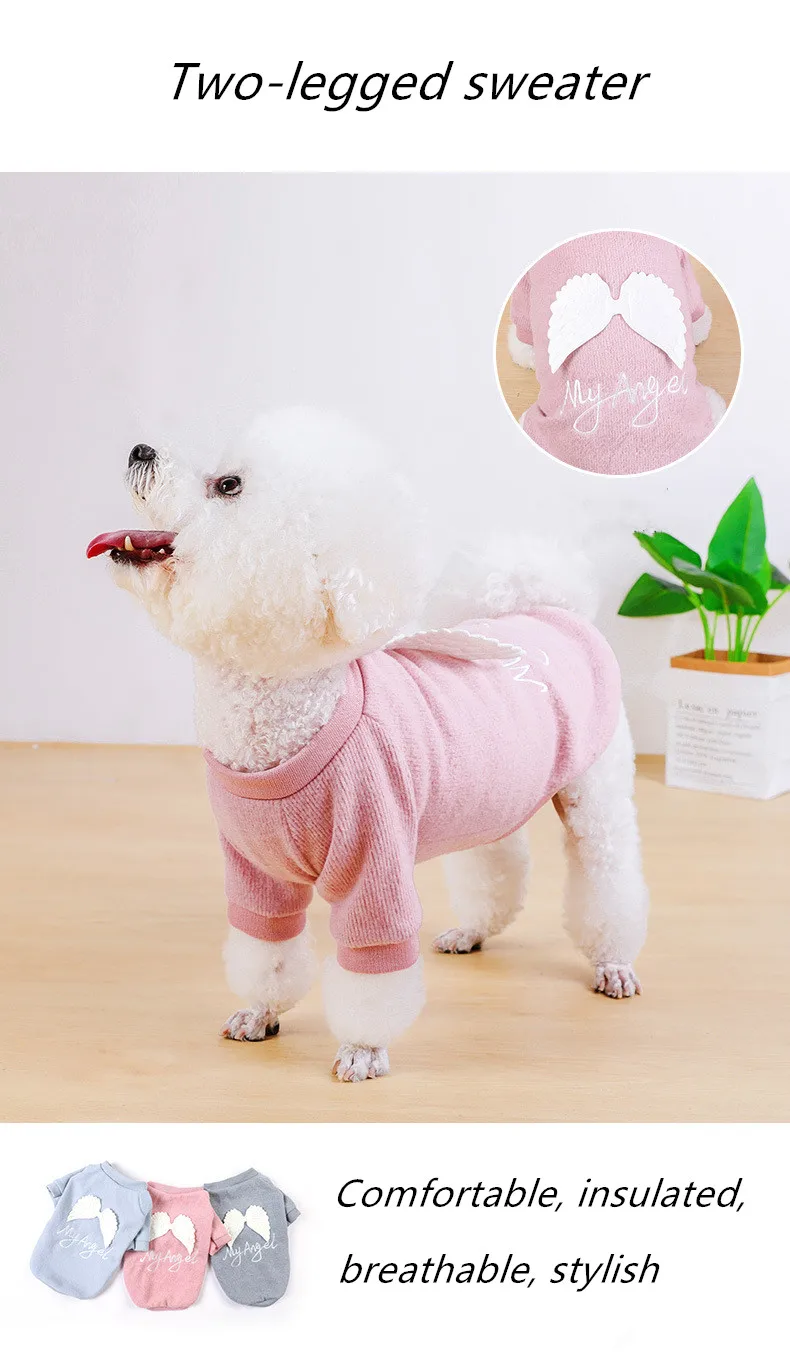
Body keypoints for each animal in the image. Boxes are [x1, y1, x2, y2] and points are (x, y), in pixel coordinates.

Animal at [87, 408, 648, 1081]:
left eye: (227, 485)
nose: (140, 450)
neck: (287, 716)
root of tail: (553, 609)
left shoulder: (371, 861)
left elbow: (372, 969)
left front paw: (362, 1050)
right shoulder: (256, 869)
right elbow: (266, 943)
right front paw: (260, 1012)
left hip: (598, 795)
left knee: (607, 875)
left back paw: (613, 962)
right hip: (489, 794)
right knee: (496, 863)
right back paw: (473, 930)